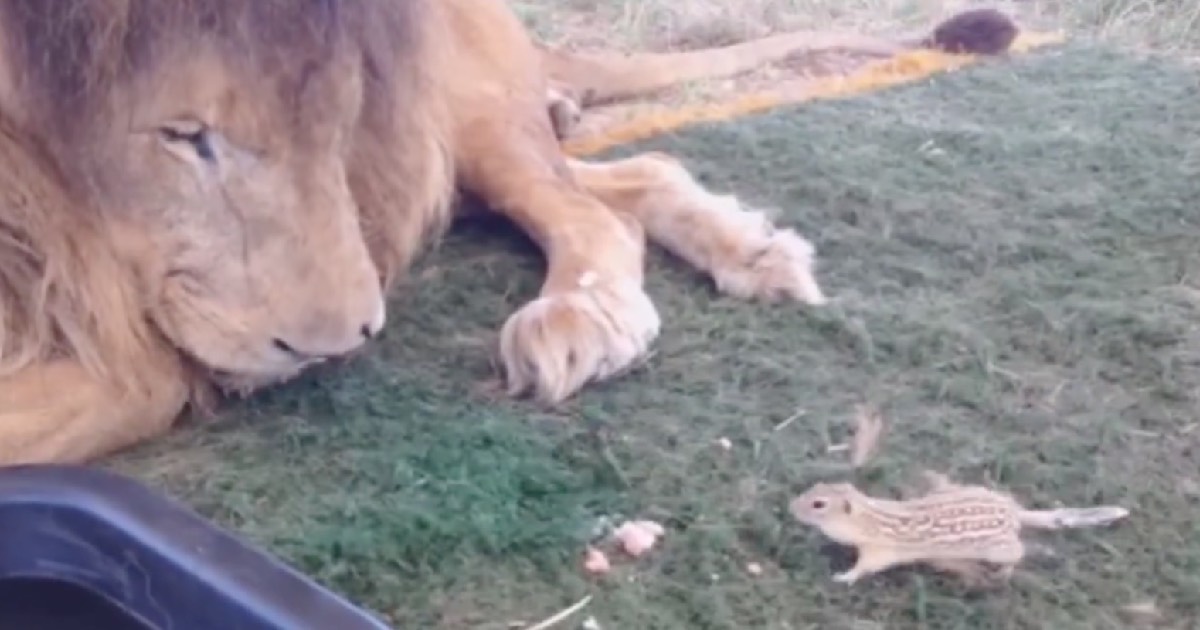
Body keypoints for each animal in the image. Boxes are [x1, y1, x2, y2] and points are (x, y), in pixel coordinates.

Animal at [0, 0, 1018, 465]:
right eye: (183, 136)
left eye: (341, 109)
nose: (345, 343)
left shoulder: (135, 354)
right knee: (636, 175)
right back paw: (753, 250)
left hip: (461, 113)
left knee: (591, 211)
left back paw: (583, 321)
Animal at [788, 472, 1130, 588]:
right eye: (815, 487)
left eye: (818, 504)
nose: (791, 506)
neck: (871, 518)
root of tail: (1014, 513)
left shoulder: (881, 552)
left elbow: (865, 568)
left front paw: (843, 577)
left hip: (997, 548)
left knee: (1017, 552)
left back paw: (1005, 570)